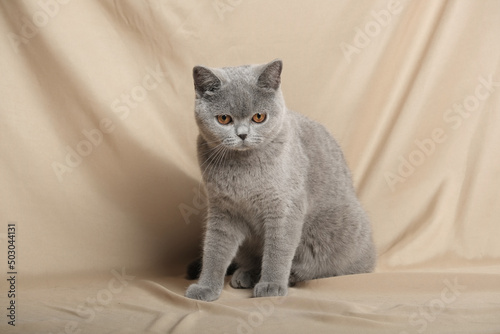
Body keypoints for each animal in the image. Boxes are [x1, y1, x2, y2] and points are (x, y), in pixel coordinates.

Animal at [184, 60, 376, 302]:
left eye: (259, 117)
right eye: (224, 119)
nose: (242, 135)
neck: (243, 168)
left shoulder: (284, 207)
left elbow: (278, 249)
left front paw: (272, 285)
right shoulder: (223, 209)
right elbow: (214, 250)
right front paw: (205, 288)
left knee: (326, 268)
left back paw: (287, 276)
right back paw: (247, 274)